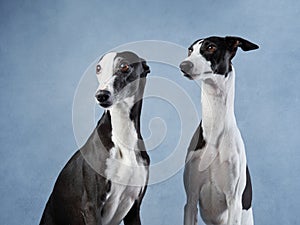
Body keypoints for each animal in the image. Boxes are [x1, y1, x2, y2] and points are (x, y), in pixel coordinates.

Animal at [40, 51, 150, 225]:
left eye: (124, 66)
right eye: (98, 68)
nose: (101, 95)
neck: (122, 136)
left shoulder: (134, 208)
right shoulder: (91, 206)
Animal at [179, 37, 258, 225]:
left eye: (211, 47)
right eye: (190, 50)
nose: (183, 65)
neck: (214, 131)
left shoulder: (233, 202)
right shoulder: (191, 200)